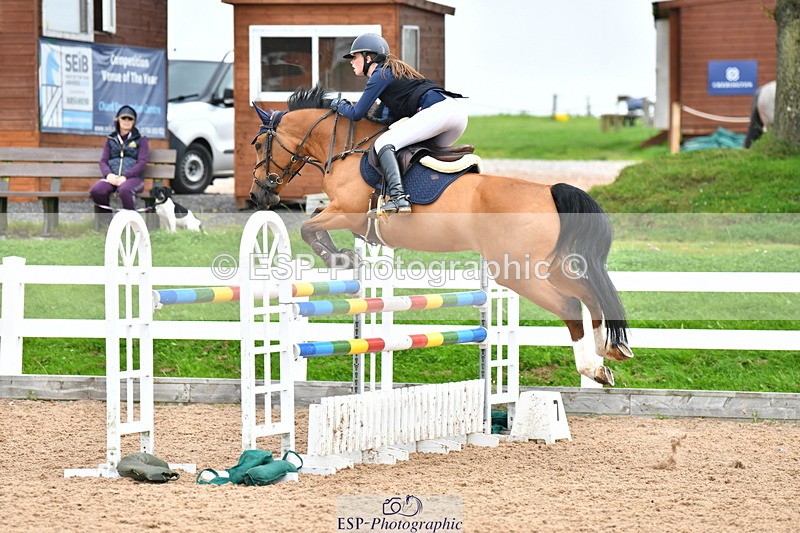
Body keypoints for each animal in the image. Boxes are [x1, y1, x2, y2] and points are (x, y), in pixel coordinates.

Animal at [249, 86, 633, 386]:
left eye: (258, 144)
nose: (258, 195)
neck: (346, 149)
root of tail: (549, 191)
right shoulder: (348, 216)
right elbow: (314, 221)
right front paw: (345, 256)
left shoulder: (349, 211)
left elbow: (308, 226)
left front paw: (339, 257)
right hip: (546, 266)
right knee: (588, 294)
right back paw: (609, 351)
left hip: (517, 271)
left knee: (570, 304)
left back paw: (592, 367)